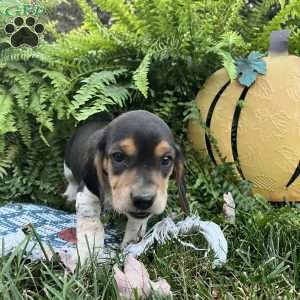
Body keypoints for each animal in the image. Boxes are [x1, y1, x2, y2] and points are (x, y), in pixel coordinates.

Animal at [63, 110, 188, 262]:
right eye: (118, 156)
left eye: (166, 159)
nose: (144, 200)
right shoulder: (88, 197)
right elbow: (92, 227)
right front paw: (88, 256)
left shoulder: (139, 216)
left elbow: (136, 226)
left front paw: (131, 245)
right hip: (67, 167)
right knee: (71, 180)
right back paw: (69, 195)